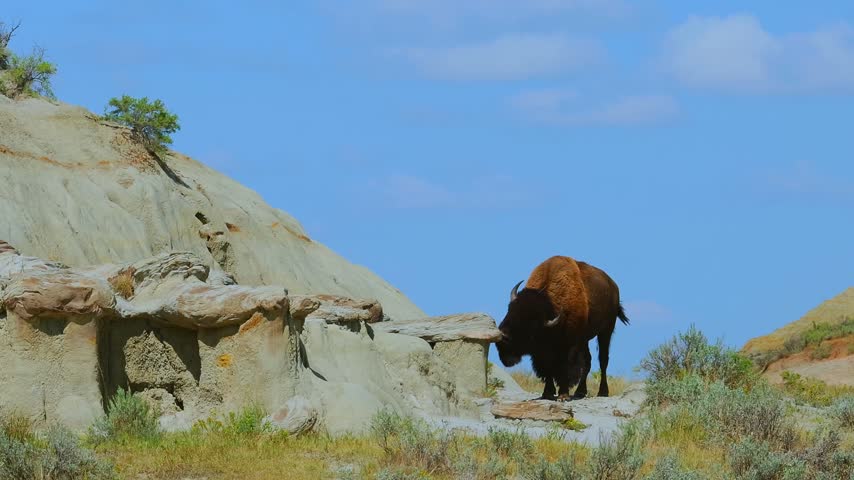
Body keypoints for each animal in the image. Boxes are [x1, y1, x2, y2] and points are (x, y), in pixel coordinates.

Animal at [495, 256, 629, 401]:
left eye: (531, 323)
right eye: (509, 310)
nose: (504, 337)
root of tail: (613, 287)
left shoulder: (569, 346)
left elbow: (565, 367)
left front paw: (563, 395)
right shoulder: (543, 351)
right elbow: (547, 368)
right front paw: (547, 393)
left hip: (606, 331)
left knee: (603, 360)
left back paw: (602, 392)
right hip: (585, 340)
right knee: (588, 361)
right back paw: (580, 392)